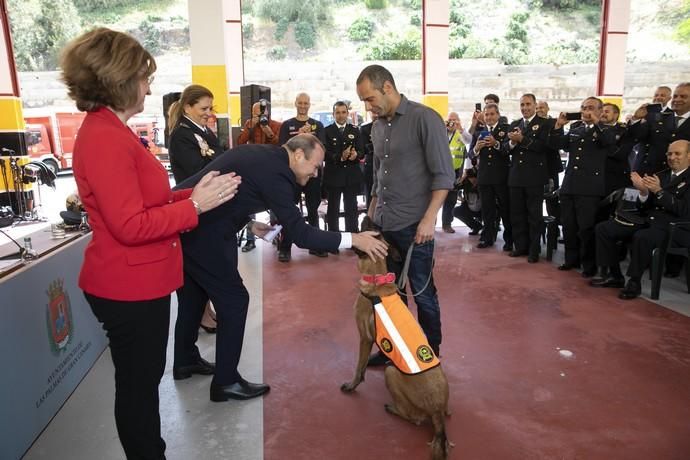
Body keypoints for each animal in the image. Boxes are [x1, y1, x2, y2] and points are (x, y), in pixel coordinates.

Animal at [340, 221, 452, 458]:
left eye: (371, 230)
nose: (368, 216)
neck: (376, 278)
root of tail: (437, 410)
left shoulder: (364, 338)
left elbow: (358, 368)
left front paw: (352, 385)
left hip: (391, 372)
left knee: (415, 418)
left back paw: (393, 409)